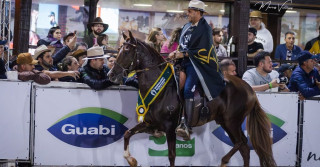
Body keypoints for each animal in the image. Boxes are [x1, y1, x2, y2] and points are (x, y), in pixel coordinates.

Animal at [108, 31, 278, 167]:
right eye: (119, 49)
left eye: (127, 50)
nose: (111, 74)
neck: (161, 89)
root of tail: (249, 89)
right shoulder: (150, 124)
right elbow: (127, 133)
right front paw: (131, 160)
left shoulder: (170, 128)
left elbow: (171, 156)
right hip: (226, 122)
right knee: (244, 149)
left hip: (232, 122)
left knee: (241, 143)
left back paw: (223, 161)